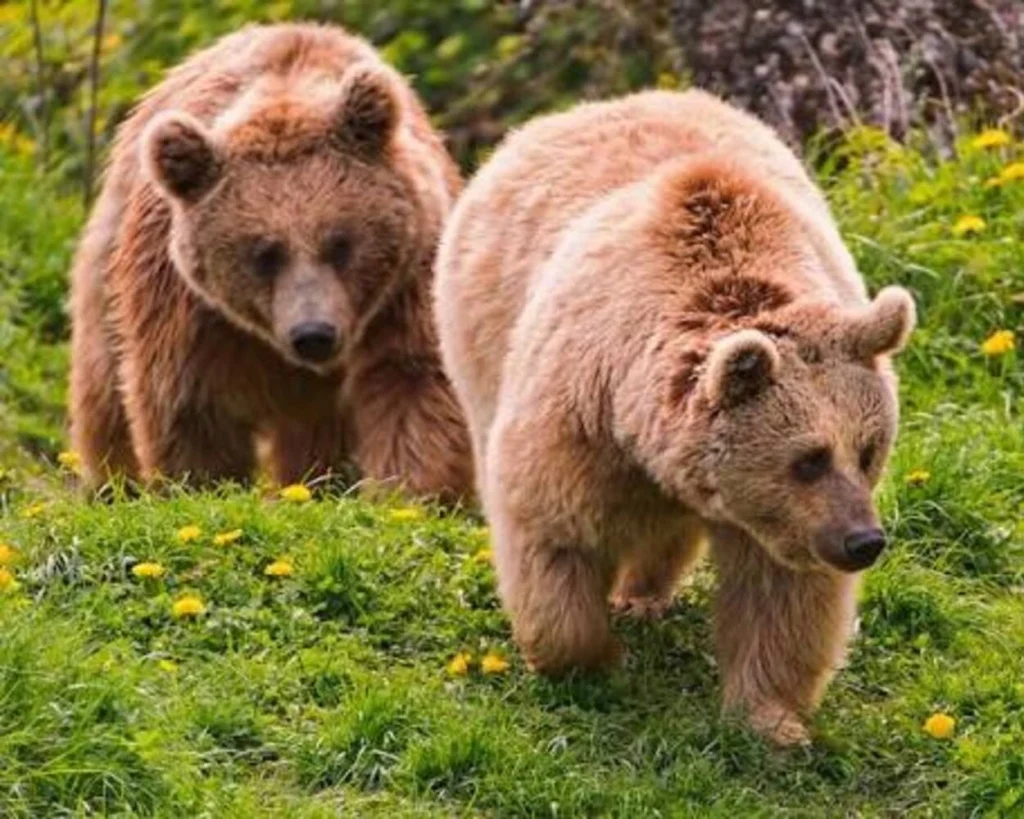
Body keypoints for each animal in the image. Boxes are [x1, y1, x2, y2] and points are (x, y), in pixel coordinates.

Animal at [68, 23, 472, 502]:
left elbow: (411, 380)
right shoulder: (191, 308)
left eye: (340, 243)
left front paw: (410, 496)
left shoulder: (407, 282)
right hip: (109, 260)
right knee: (103, 381)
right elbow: (191, 402)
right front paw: (204, 484)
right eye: (264, 254)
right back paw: (112, 483)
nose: (314, 334)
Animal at [434, 89, 916, 744]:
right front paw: (587, 659)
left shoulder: (778, 522)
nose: (863, 541)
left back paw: (645, 593)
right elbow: (553, 529)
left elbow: (781, 597)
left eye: (868, 451)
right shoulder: (580, 417)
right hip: (480, 336)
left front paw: (773, 720)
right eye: (809, 459)